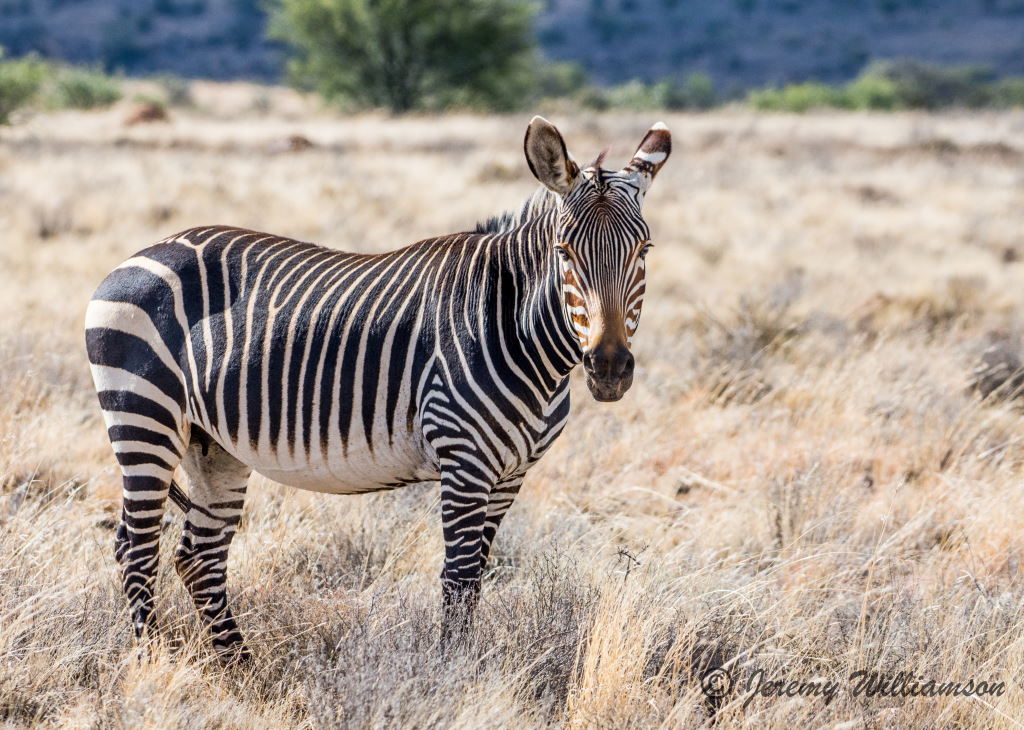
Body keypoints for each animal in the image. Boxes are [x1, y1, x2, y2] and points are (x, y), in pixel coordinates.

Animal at [86, 115, 671, 655]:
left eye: (644, 250)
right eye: (564, 252)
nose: (609, 368)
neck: (514, 328)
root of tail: (147, 250)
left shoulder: (511, 474)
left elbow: (478, 576)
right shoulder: (464, 460)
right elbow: (459, 579)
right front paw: (453, 674)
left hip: (211, 444)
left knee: (198, 555)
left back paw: (237, 667)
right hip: (144, 417)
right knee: (136, 547)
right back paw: (151, 662)